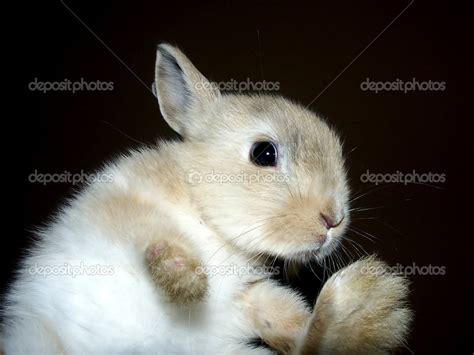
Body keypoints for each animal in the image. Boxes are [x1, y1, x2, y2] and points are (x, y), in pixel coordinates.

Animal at [1, 43, 412, 354]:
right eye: (264, 153)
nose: (334, 218)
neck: (211, 224)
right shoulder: (123, 204)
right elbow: (153, 234)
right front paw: (186, 279)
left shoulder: (246, 297)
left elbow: (282, 316)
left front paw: (368, 312)